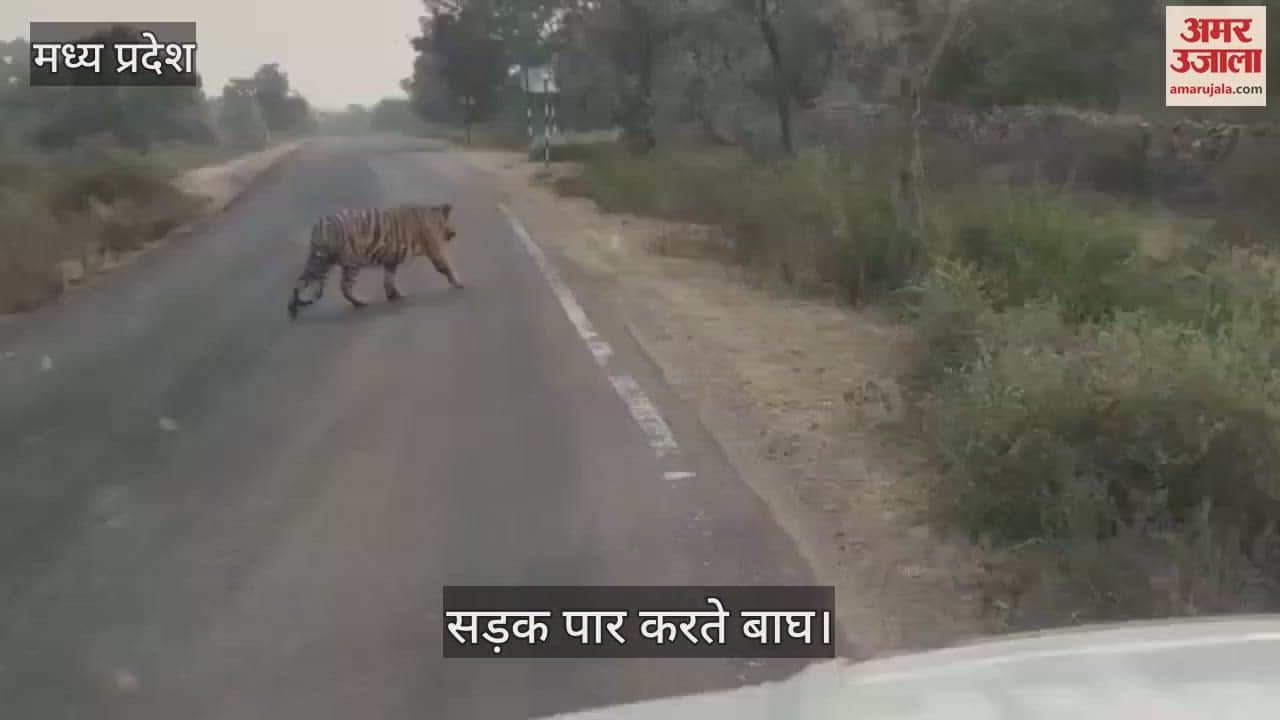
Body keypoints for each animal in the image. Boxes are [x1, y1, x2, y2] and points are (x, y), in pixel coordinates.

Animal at [287, 202, 462, 320]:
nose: (454, 233)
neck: (432, 215)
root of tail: (320, 225)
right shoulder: (435, 250)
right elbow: (447, 267)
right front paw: (460, 283)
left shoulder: (391, 261)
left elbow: (389, 280)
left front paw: (394, 296)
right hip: (350, 264)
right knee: (344, 287)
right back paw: (360, 303)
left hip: (320, 263)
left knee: (299, 282)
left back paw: (292, 308)